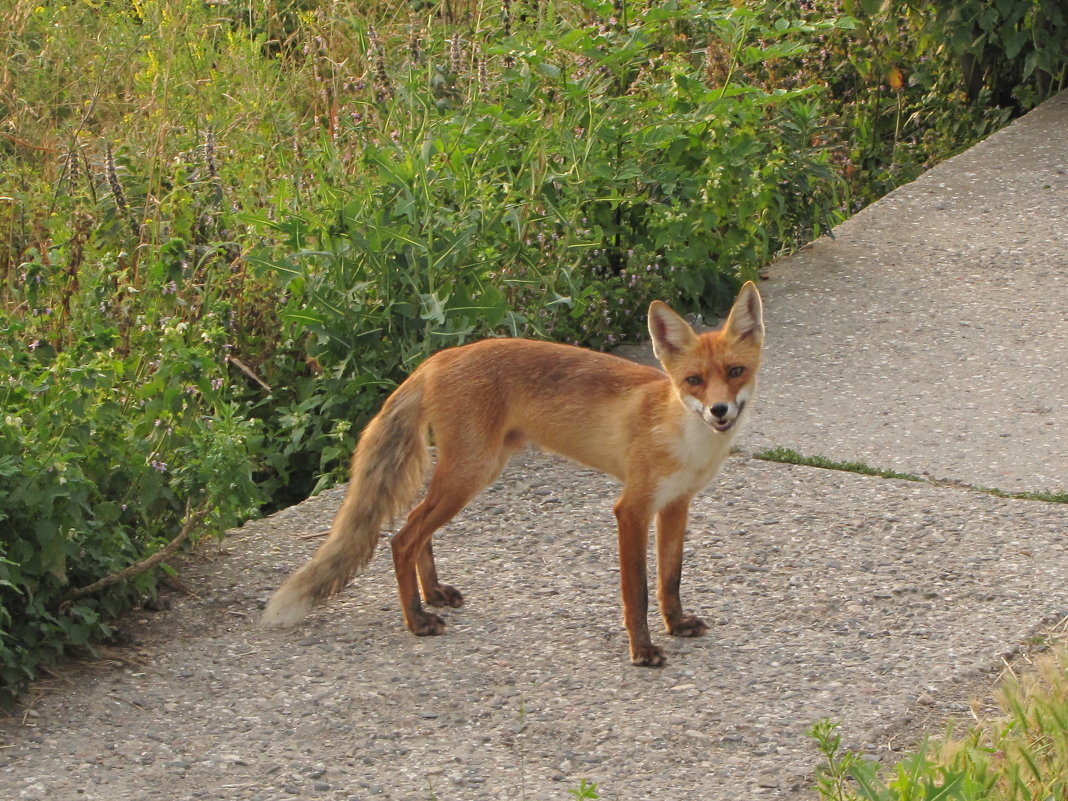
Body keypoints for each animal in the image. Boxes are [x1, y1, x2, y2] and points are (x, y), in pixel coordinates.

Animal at [267, 281, 768, 666]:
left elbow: (670, 579)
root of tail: (438, 358)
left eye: (735, 371)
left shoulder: (676, 505)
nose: (719, 411)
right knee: (402, 538)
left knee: (415, 527)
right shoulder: (632, 509)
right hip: (469, 473)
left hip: (472, 473)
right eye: (694, 381)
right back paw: (416, 619)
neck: (683, 439)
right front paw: (642, 650)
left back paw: (432, 594)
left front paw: (676, 623)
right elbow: (638, 592)